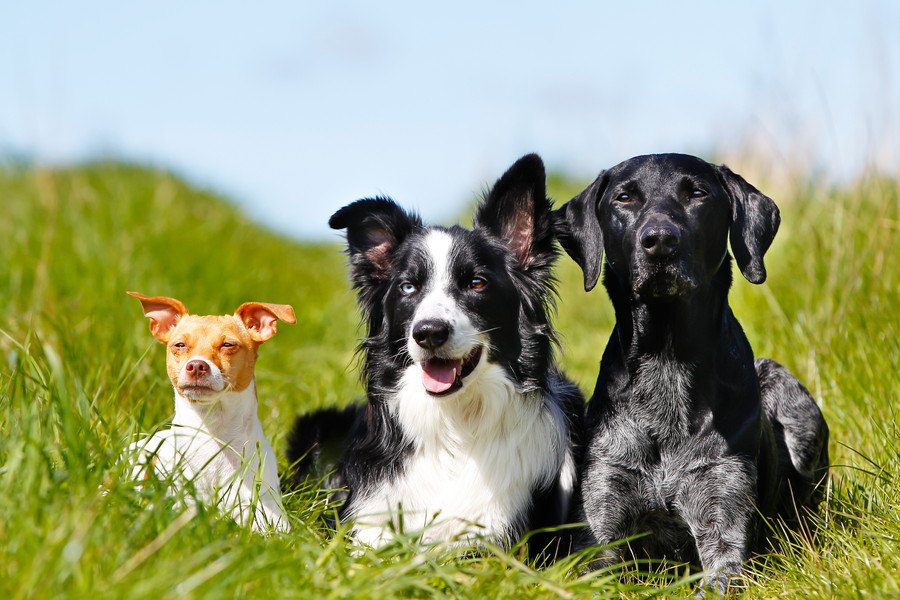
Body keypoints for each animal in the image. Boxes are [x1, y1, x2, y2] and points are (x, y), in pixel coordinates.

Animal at [556, 154, 828, 592]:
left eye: (697, 194)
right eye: (625, 197)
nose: (660, 240)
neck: (667, 361)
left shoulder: (723, 522)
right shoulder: (601, 525)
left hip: (788, 396)